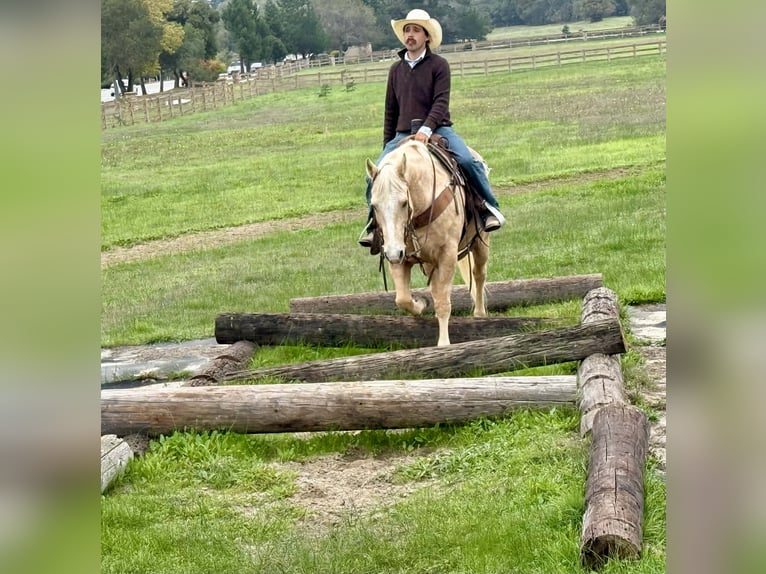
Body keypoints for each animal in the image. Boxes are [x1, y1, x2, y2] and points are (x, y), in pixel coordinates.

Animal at [365, 139, 490, 346]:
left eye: (404, 202)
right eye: (374, 205)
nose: (393, 253)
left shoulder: (447, 256)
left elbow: (443, 302)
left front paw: (444, 344)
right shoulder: (399, 256)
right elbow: (403, 299)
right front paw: (421, 304)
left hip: (480, 243)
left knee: (478, 275)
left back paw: (480, 314)